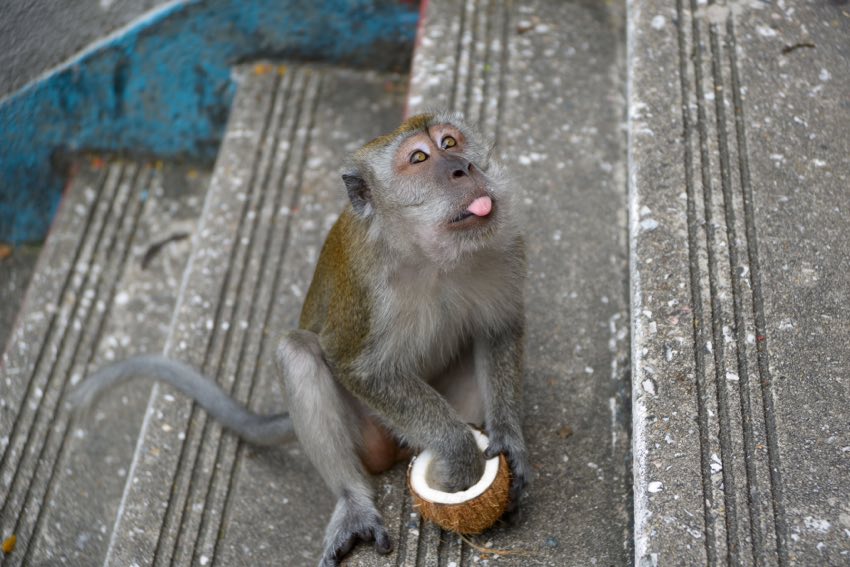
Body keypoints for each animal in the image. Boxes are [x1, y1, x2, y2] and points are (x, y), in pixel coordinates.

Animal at [71, 112, 530, 567]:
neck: (430, 254)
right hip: (371, 434)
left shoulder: (504, 244)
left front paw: (508, 437)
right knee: (297, 353)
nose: (463, 167)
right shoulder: (367, 293)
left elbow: (498, 330)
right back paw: (353, 502)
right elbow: (357, 368)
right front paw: (459, 452)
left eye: (450, 143)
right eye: (419, 157)